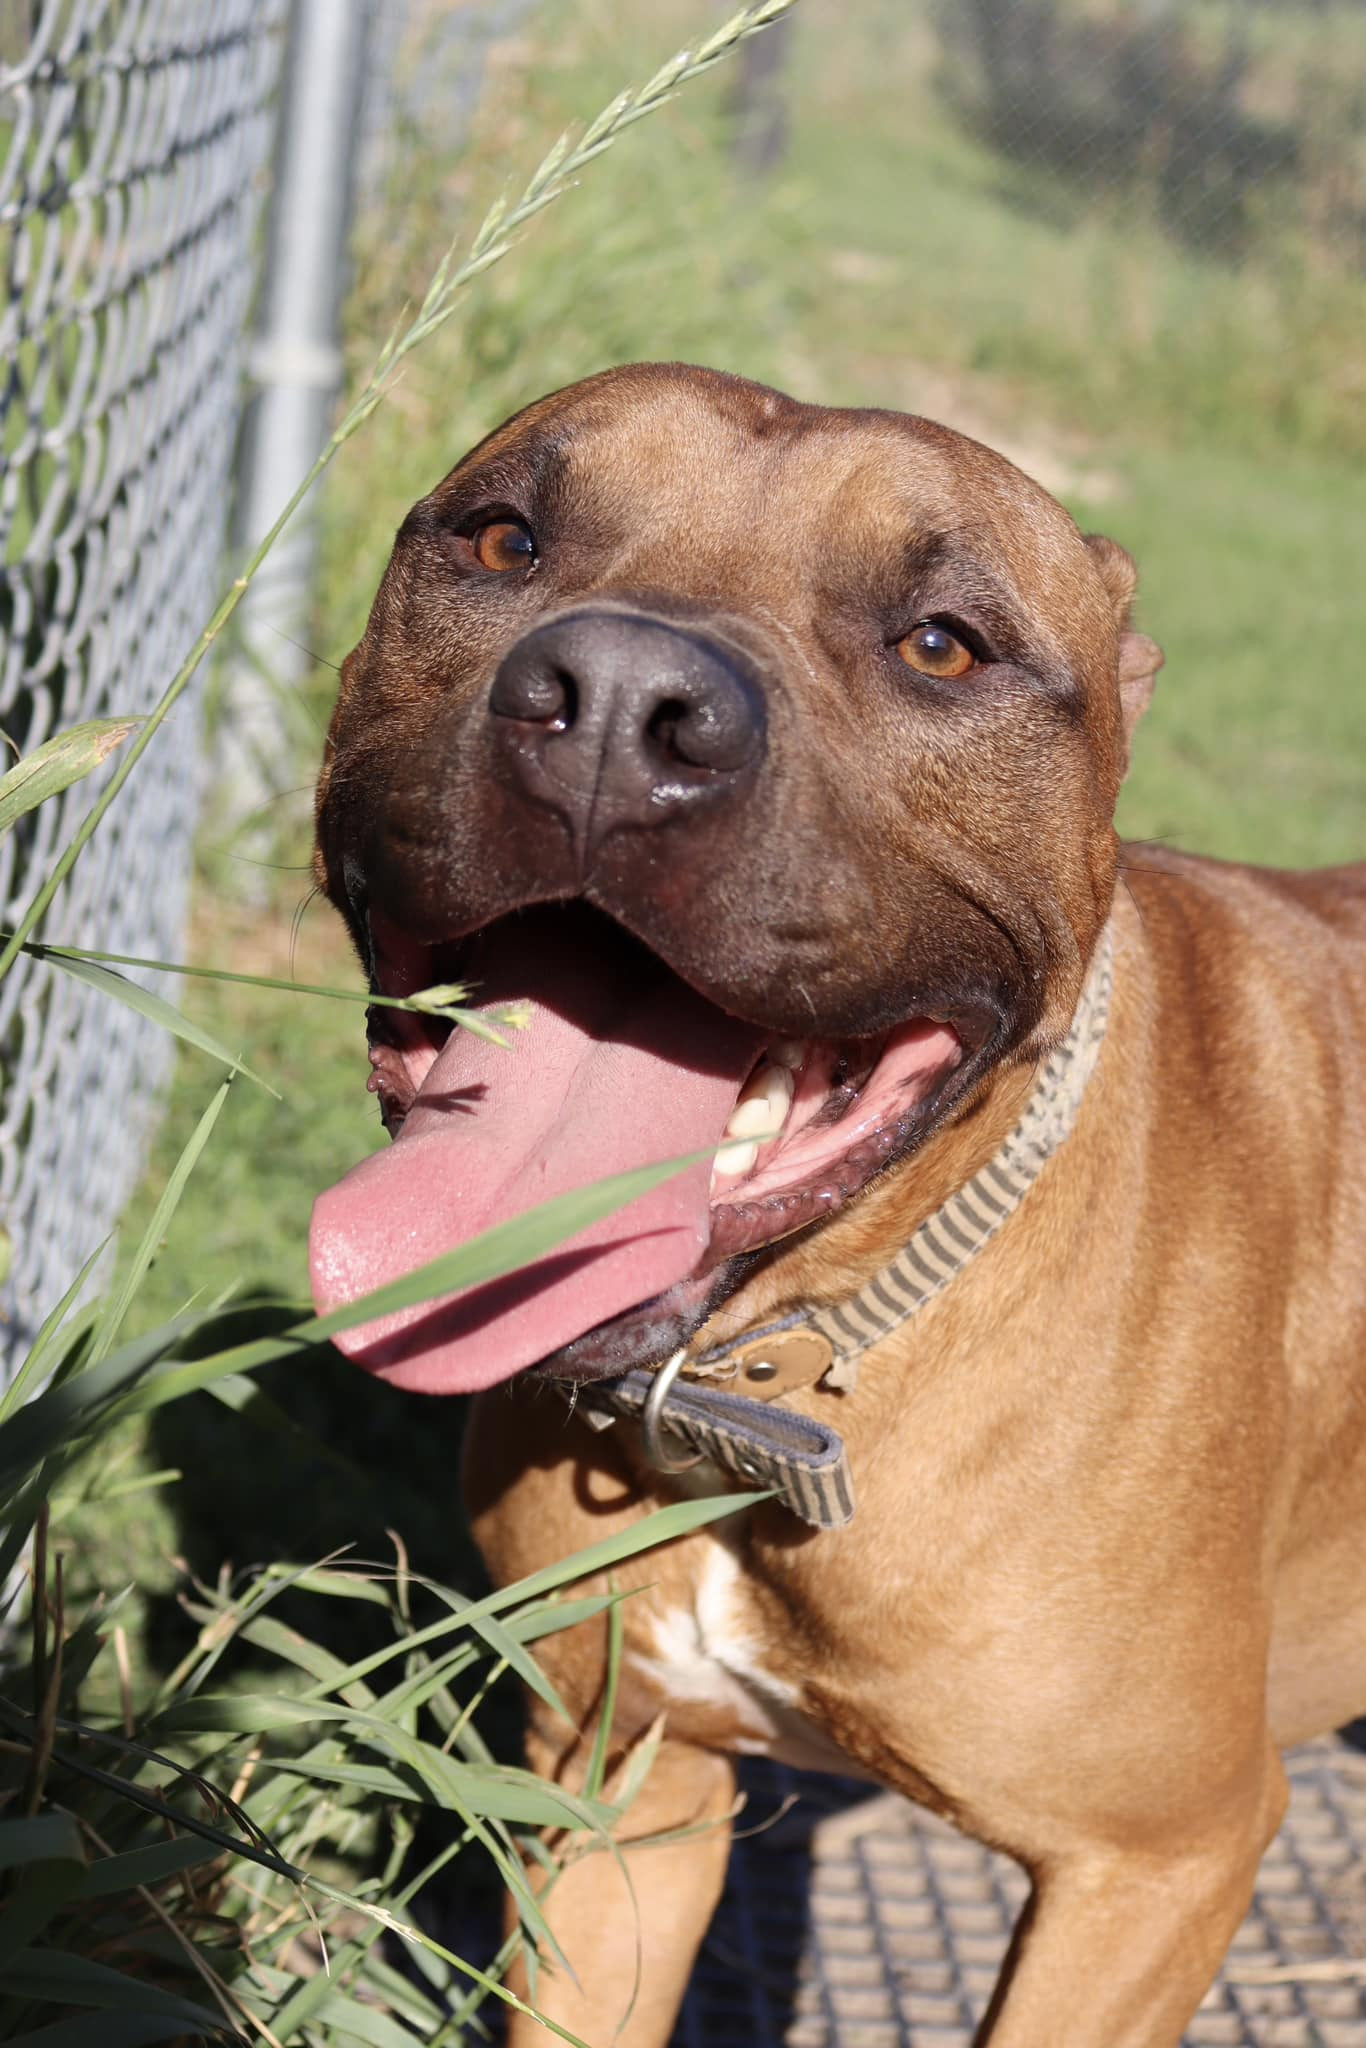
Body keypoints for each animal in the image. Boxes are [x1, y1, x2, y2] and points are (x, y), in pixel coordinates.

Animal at [309, 368, 1366, 2048]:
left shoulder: (1151, 1870)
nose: (617, 702)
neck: (769, 1373)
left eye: (940, 643)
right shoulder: (623, 1790)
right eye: (500, 537)